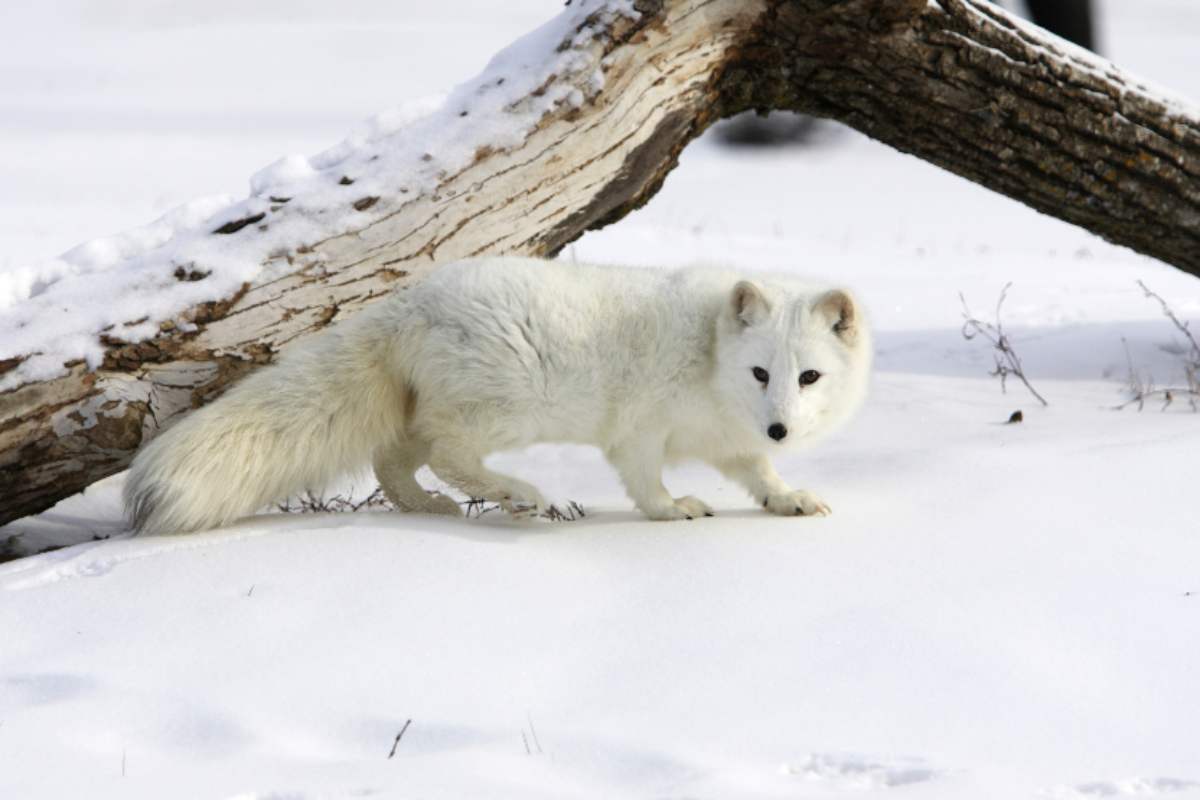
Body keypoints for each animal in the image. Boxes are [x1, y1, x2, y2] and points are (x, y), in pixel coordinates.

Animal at [124, 256, 873, 534]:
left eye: (808, 377)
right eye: (761, 373)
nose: (781, 427)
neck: (710, 358)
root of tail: (407, 302)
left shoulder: (728, 441)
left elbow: (758, 474)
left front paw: (790, 498)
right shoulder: (639, 429)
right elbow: (643, 481)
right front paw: (673, 510)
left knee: (394, 459)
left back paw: (429, 508)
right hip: (508, 406)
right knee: (447, 451)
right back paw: (520, 497)